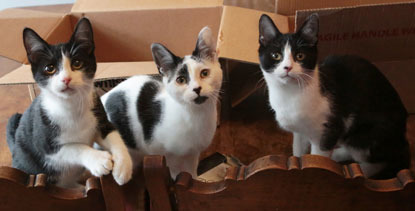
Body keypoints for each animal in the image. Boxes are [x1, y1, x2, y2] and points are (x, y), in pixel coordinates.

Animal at [6, 17, 133, 187]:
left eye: (77, 63)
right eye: (50, 68)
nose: (66, 79)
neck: (72, 106)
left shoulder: (100, 117)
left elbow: (114, 134)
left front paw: (123, 167)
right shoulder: (45, 145)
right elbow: (74, 147)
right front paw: (99, 160)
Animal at [101, 26, 224, 178]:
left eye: (204, 73)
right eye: (181, 80)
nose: (197, 88)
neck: (195, 115)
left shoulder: (193, 153)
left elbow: (190, 172)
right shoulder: (163, 152)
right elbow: (175, 173)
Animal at [258, 13, 412, 178]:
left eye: (300, 56)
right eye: (276, 55)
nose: (287, 67)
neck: (290, 94)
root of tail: (402, 137)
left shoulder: (329, 130)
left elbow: (317, 159)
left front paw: (318, 169)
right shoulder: (299, 131)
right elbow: (298, 151)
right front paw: (298, 164)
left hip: (367, 134)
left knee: (377, 160)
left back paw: (351, 170)